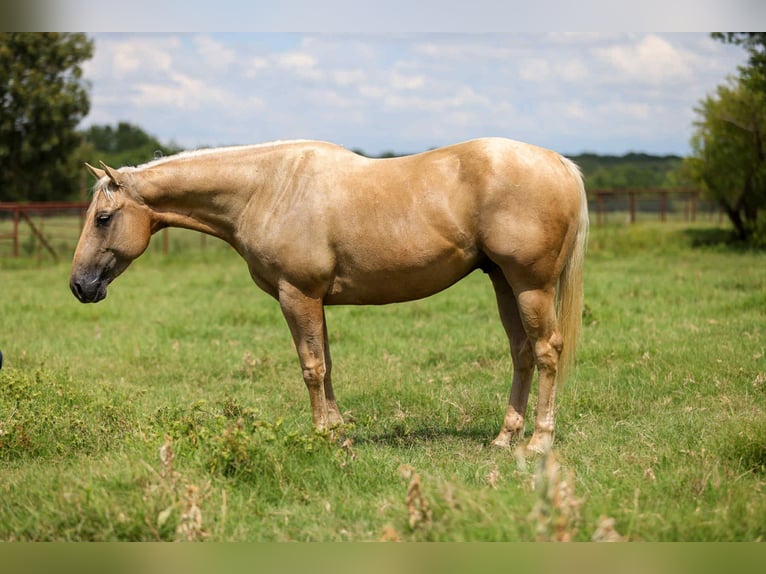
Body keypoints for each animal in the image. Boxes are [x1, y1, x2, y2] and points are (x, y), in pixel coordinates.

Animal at [70, 137, 588, 453]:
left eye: (103, 218)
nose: (79, 285)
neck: (267, 188)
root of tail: (558, 162)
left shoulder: (297, 295)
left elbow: (312, 368)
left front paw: (321, 435)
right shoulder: (315, 301)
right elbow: (329, 364)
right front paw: (338, 432)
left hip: (530, 286)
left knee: (546, 351)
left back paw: (539, 441)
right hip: (503, 282)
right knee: (521, 353)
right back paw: (504, 438)